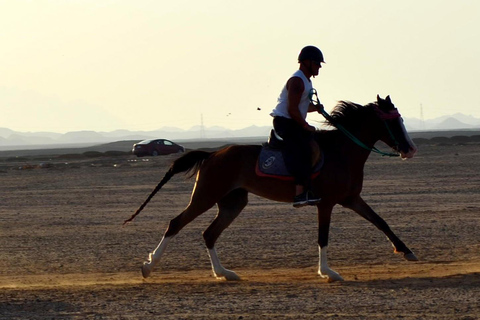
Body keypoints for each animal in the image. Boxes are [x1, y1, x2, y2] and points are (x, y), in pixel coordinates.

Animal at [125, 94, 418, 282]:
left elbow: (381, 222)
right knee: (176, 223)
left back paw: (224, 274)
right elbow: (323, 237)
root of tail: (212, 154)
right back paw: (149, 267)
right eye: (393, 122)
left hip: (233, 202)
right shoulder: (326, 203)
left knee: (209, 234)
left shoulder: (351, 199)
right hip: (206, 196)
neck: (341, 152)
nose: (410, 149)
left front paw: (407, 252)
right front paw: (328, 272)